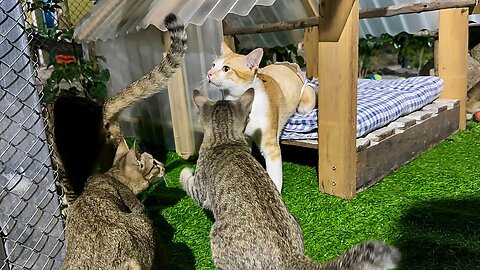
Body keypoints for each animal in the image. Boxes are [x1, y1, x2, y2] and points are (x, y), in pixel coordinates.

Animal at [178, 89, 400, 270]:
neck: (225, 139)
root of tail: (291, 255)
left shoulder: (201, 192)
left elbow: (188, 182)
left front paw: (184, 171)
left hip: (217, 237)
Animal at [205, 43, 316, 193]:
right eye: (213, 65)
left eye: (226, 68)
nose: (208, 73)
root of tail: (289, 65)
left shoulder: (270, 147)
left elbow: (275, 176)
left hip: (304, 105)